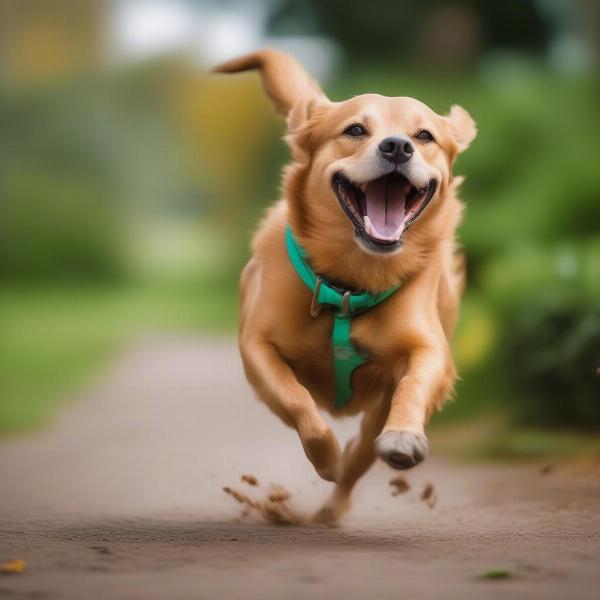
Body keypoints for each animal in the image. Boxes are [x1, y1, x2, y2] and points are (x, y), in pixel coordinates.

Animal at [213, 50, 476, 520]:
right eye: (355, 129)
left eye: (424, 135)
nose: (397, 146)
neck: (352, 283)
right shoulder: (256, 349)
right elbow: (299, 402)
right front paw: (326, 458)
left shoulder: (429, 350)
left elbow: (414, 383)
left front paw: (403, 436)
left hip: (376, 411)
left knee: (363, 451)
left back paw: (334, 508)